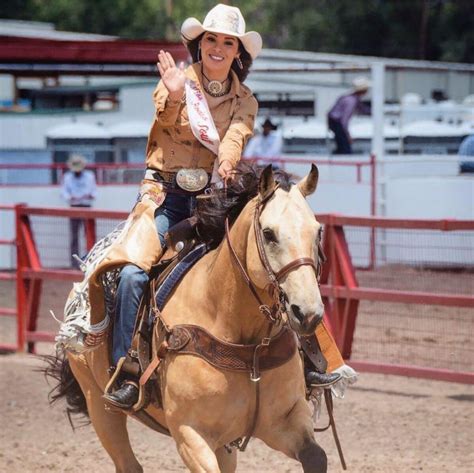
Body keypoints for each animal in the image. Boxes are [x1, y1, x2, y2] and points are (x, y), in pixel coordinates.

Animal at [47, 163, 330, 472]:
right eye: (269, 233)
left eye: (317, 232)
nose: (308, 312)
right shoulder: (190, 434)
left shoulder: (285, 422)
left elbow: (317, 456)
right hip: (99, 405)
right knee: (127, 461)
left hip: (225, 444)